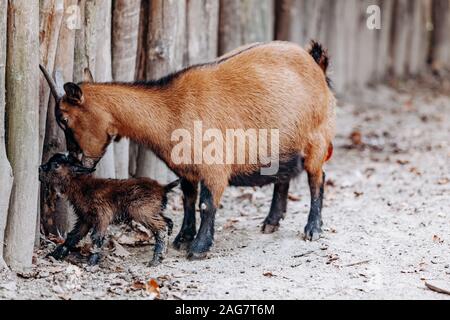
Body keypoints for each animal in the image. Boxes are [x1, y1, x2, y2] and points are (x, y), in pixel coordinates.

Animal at [38, 152, 178, 264]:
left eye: (56, 165)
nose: (40, 168)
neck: (83, 187)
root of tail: (163, 188)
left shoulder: (102, 215)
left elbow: (97, 237)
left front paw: (92, 262)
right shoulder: (85, 218)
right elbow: (73, 236)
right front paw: (54, 255)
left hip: (142, 210)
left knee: (161, 227)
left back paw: (156, 259)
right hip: (154, 210)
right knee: (168, 221)